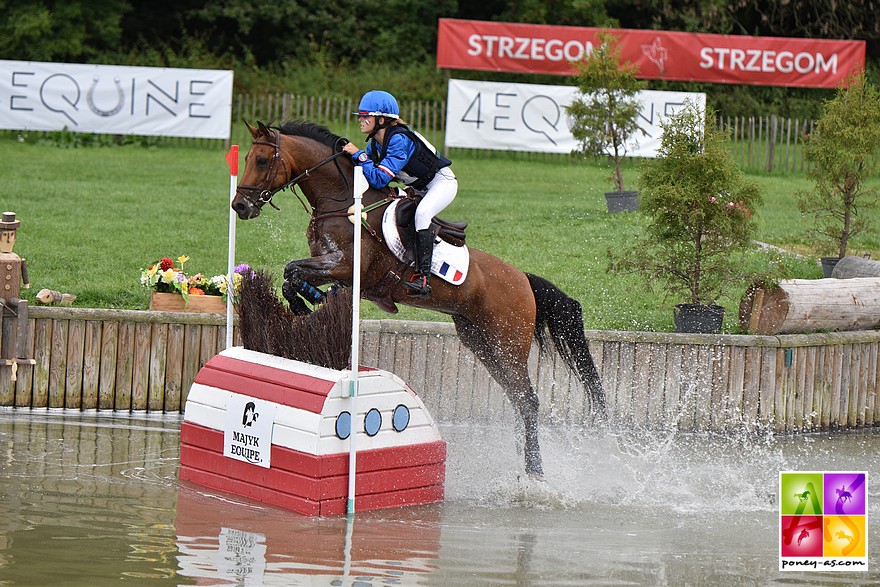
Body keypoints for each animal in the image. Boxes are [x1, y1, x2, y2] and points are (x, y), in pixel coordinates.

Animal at [232, 121, 604, 480]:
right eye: (247, 159)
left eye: (262, 160)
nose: (240, 206)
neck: (341, 200)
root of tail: (523, 280)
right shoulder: (330, 266)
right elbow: (291, 275)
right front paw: (309, 301)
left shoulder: (345, 266)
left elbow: (294, 270)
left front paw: (307, 302)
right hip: (481, 342)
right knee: (517, 397)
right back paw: (522, 460)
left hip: (508, 344)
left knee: (528, 400)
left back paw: (535, 471)